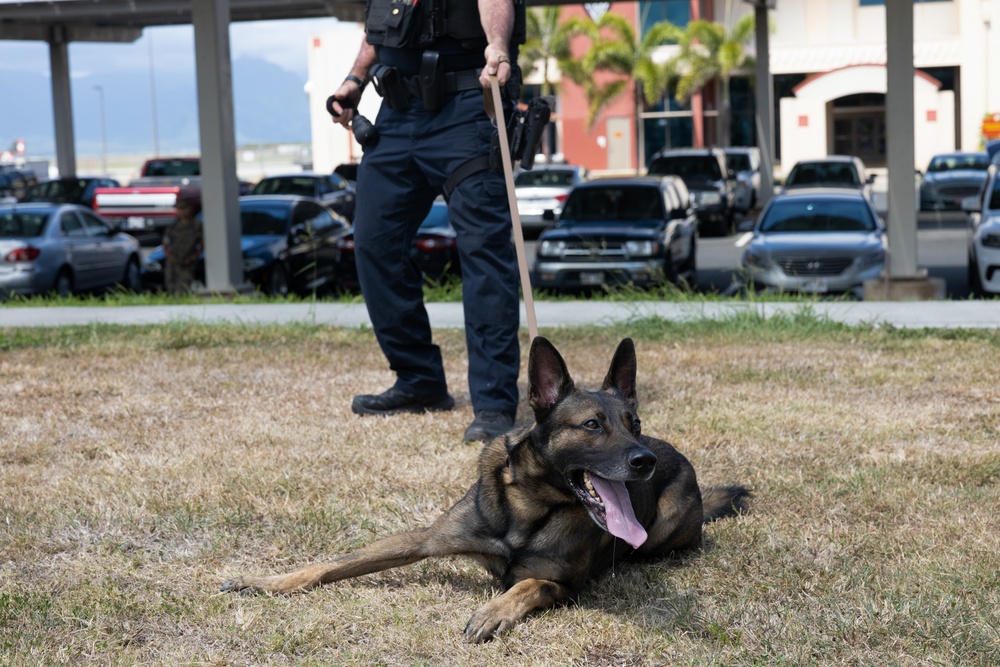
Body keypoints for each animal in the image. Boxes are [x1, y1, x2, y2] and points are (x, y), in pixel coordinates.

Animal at [221, 340, 752, 640]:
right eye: (592, 425)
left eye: (634, 423)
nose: (644, 461)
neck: (529, 507)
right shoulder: (422, 540)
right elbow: (332, 564)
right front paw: (264, 581)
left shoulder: (567, 587)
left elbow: (526, 583)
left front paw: (494, 610)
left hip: (667, 522)